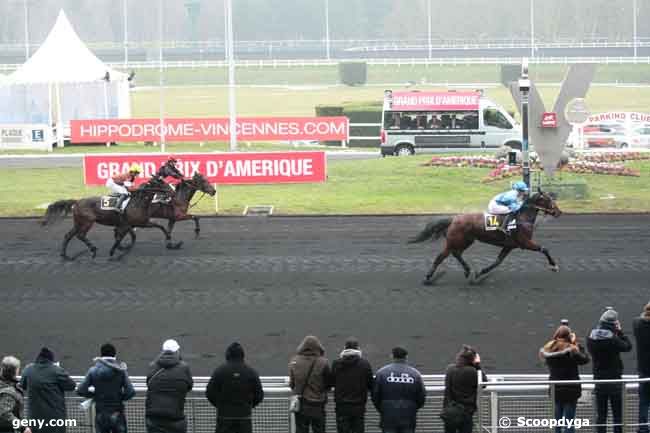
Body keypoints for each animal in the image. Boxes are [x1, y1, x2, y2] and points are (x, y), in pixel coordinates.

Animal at [408, 189, 560, 284]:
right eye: (548, 199)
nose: (558, 212)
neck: (522, 218)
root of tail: (454, 219)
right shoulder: (525, 242)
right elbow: (544, 249)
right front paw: (554, 266)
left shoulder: (509, 246)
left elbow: (497, 262)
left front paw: (480, 273)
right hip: (454, 241)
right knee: (441, 256)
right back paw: (428, 278)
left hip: (466, 241)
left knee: (456, 254)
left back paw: (467, 271)